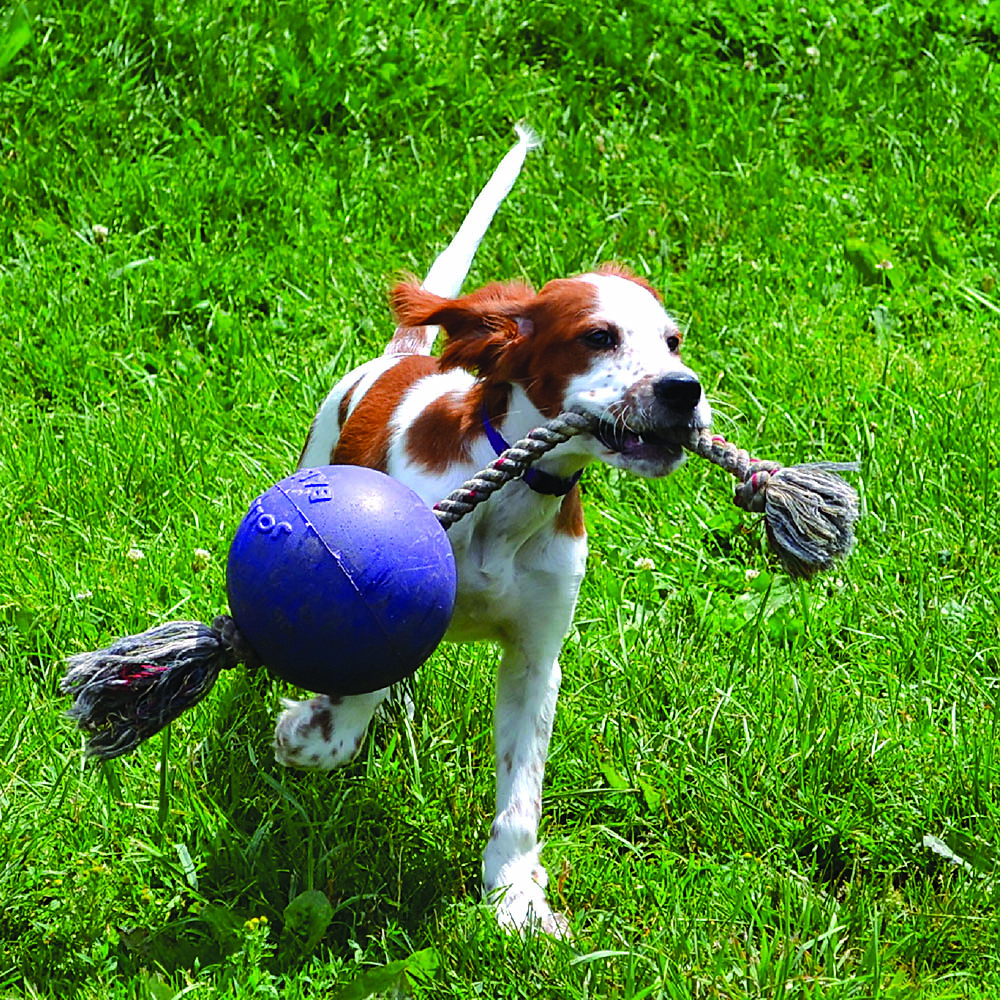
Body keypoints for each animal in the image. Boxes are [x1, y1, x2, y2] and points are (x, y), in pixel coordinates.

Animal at [272, 129, 712, 932]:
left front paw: (514, 896)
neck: (507, 499)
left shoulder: (537, 657)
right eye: (598, 336)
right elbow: (350, 697)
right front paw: (314, 731)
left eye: (672, 341)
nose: (684, 390)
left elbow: (521, 791)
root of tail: (402, 358)